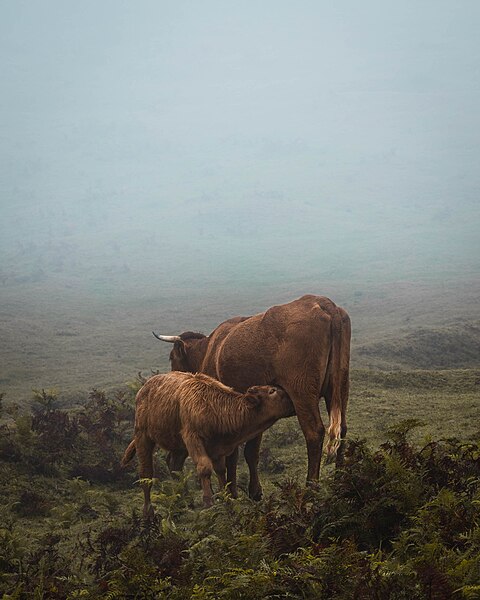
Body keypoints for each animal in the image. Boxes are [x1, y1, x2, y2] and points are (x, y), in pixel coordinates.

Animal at [121, 370, 292, 516]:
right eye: (272, 391)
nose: (291, 398)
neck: (214, 405)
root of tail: (144, 388)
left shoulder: (217, 448)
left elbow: (221, 470)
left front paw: (227, 499)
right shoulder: (193, 438)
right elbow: (204, 467)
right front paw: (208, 502)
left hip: (179, 447)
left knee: (174, 465)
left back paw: (186, 501)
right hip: (143, 437)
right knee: (146, 473)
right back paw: (148, 512)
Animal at [154, 292, 352, 500]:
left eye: (171, 357)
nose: (171, 380)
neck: (209, 350)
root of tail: (324, 303)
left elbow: (232, 455)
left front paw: (232, 491)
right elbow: (251, 451)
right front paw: (254, 490)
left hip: (302, 392)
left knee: (314, 432)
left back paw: (310, 489)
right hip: (340, 387)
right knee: (342, 429)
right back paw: (340, 483)